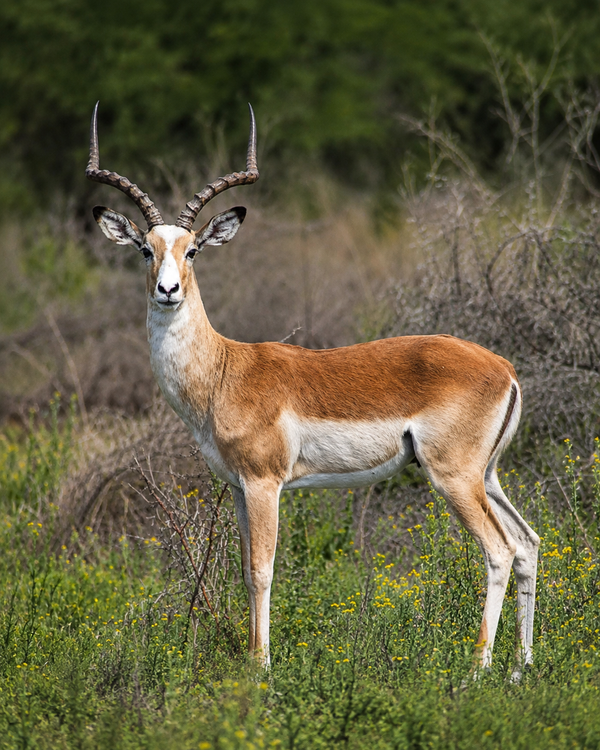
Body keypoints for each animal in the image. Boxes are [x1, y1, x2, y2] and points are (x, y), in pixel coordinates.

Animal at [86, 102, 539, 679]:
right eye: (146, 249)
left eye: (192, 252)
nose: (168, 291)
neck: (223, 372)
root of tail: (503, 368)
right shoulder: (239, 488)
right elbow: (243, 570)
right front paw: (252, 659)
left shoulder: (265, 483)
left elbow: (262, 569)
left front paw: (261, 667)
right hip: (489, 475)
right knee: (527, 543)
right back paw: (521, 667)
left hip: (454, 477)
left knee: (499, 550)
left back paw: (477, 669)